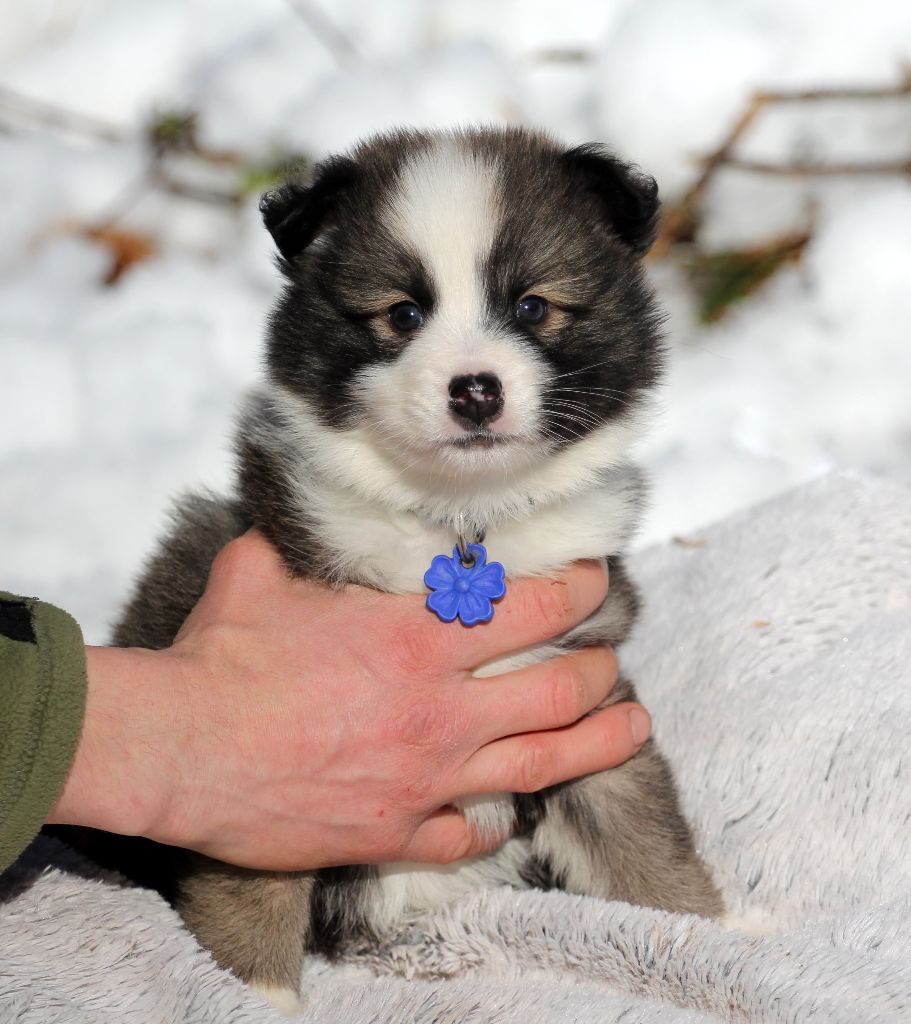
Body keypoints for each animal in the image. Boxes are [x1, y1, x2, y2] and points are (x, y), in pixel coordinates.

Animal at [108, 130, 716, 1015]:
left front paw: (724, 935)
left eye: (531, 307)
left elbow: (638, 829)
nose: (475, 390)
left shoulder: (582, 695)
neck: (459, 519)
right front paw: (254, 997)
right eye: (402, 314)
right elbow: (251, 889)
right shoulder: (275, 779)